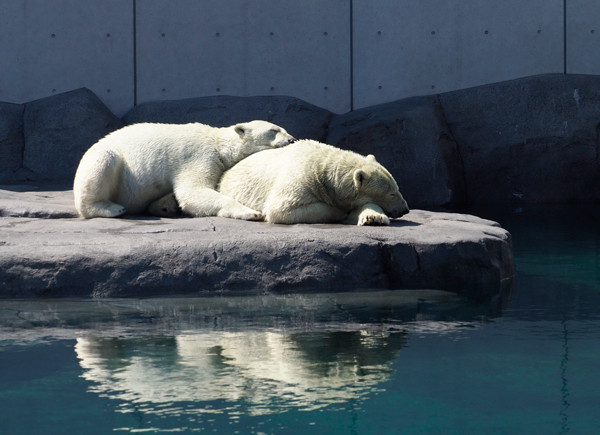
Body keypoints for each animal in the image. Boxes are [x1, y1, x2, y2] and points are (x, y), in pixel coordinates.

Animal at [73, 121, 296, 220]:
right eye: (274, 130)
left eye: (284, 129)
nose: (292, 139)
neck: (219, 144)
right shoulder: (198, 156)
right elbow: (193, 191)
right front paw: (252, 212)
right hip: (106, 161)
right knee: (104, 162)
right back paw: (112, 209)